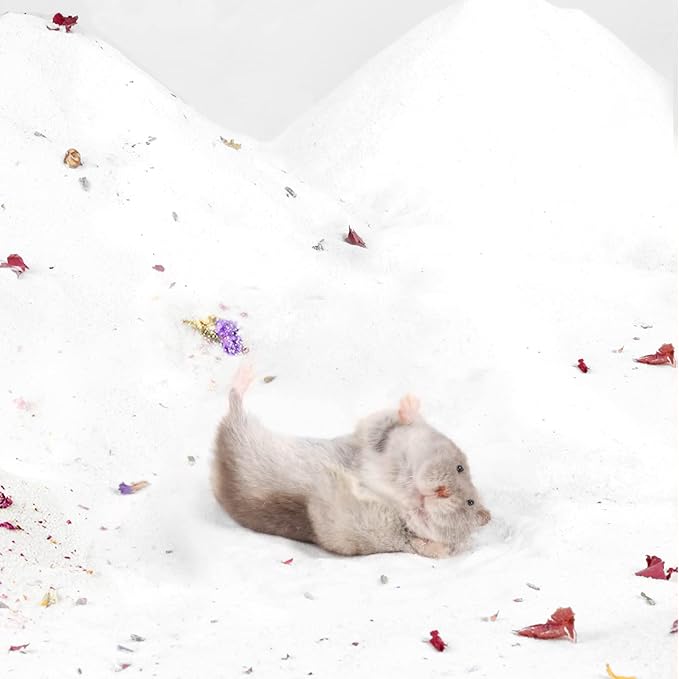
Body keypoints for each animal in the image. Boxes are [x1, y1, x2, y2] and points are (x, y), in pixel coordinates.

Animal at [354, 394, 491, 552]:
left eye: (470, 502)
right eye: (459, 468)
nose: (443, 492)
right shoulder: (380, 429)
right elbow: (394, 422)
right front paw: (409, 400)